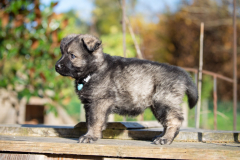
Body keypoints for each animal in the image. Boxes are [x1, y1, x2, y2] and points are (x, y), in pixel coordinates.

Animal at [55, 33, 198, 145]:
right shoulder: (89, 104)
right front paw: (92, 134)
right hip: (157, 106)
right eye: (62, 53)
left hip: (164, 101)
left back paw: (165, 139)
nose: (56, 66)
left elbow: (94, 121)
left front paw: (89, 136)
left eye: (72, 55)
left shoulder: (99, 102)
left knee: (174, 121)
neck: (94, 70)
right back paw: (162, 136)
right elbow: (89, 120)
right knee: (167, 121)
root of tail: (181, 73)